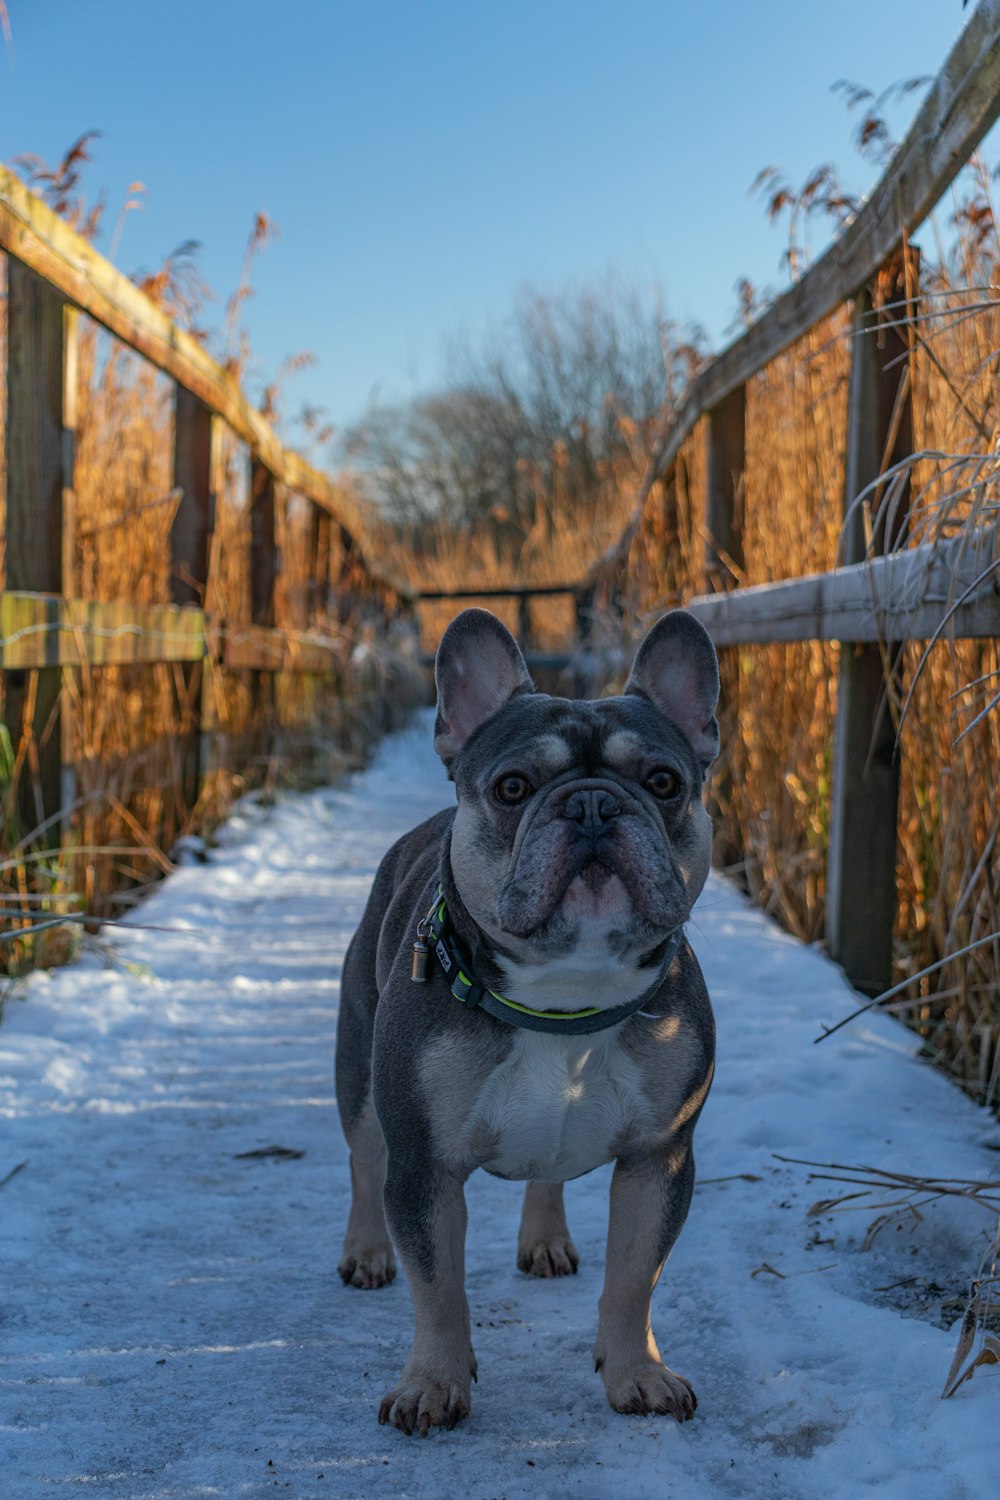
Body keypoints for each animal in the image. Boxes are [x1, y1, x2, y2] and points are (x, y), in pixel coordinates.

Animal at [335, 606, 719, 1428]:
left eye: (664, 782)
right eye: (513, 787)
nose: (593, 804)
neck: (566, 995)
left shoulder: (660, 1158)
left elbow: (635, 1276)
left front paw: (638, 1373)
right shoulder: (423, 1165)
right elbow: (438, 1287)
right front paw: (432, 1383)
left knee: (549, 1174)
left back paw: (545, 1237)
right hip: (359, 1080)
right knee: (362, 1159)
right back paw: (367, 1253)